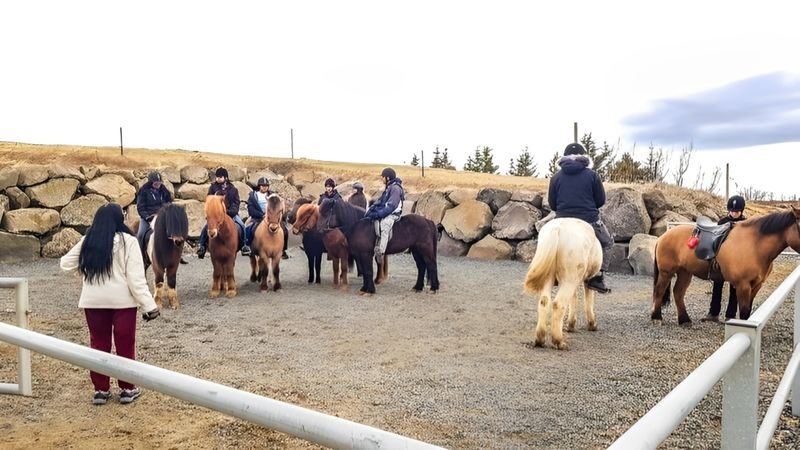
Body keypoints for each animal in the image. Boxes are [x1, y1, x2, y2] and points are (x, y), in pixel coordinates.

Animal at [523, 218, 602, 350]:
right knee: (558, 304)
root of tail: (557, 228)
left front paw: (571, 325)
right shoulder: (588, 279)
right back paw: (559, 341)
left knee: (544, 301)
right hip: (570, 279)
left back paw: (540, 339)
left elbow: (573, 299)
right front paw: (592, 325)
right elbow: (588, 300)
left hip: (551, 276)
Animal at [651, 207, 800, 325]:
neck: (754, 245)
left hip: (685, 272)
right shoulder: (743, 285)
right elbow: (744, 311)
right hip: (666, 272)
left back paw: (684, 320)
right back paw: (657, 318)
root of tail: (663, 236)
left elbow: (748, 310)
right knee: (659, 291)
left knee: (678, 293)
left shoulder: (756, 285)